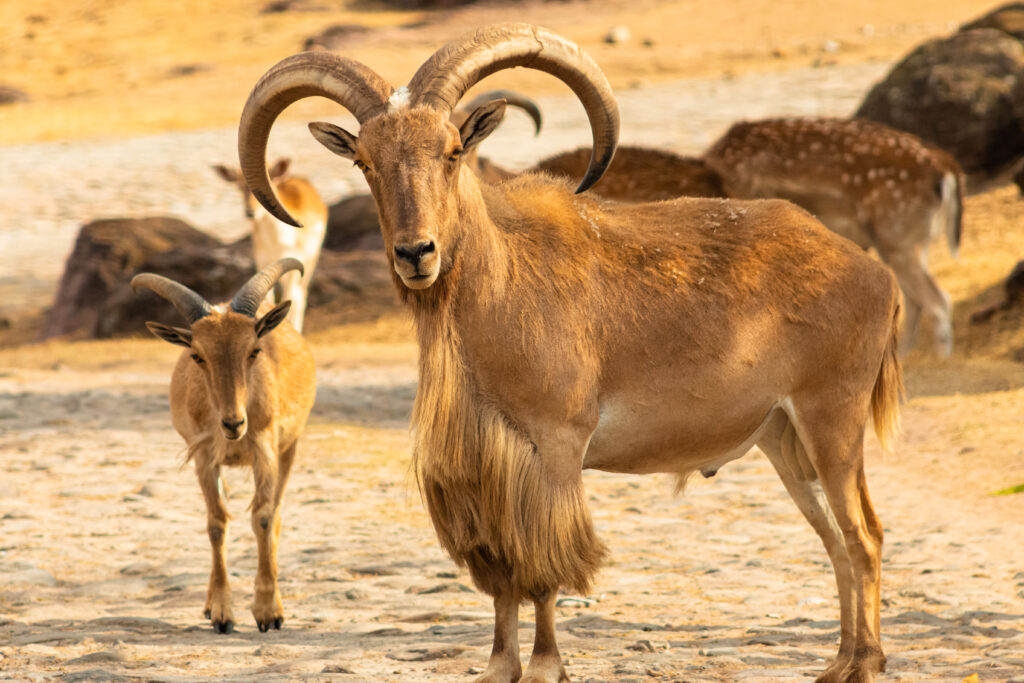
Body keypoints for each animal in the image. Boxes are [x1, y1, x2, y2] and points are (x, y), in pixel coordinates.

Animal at [132, 258, 316, 633]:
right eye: (197, 356)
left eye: (254, 351)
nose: (234, 424)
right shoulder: (204, 456)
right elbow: (216, 522)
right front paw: (221, 613)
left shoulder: (266, 451)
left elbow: (263, 517)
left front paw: (268, 612)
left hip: (290, 447)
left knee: (276, 515)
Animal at [213, 158, 327, 332]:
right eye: (238, 186)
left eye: (270, 183)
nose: (250, 212)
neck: (277, 242)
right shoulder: (262, 261)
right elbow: (267, 298)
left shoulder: (297, 262)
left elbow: (291, 298)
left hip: (311, 260)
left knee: (300, 295)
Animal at [237, 23, 902, 683]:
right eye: (365, 161)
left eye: (452, 151)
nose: (415, 253)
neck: (500, 285)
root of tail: (875, 274)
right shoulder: (488, 469)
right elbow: (504, 576)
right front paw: (498, 665)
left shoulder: (556, 449)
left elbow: (544, 570)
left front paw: (543, 665)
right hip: (784, 439)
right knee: (836, 541)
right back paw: (841, 659)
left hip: (831, 418)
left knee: (864, 534)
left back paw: (864, 662)